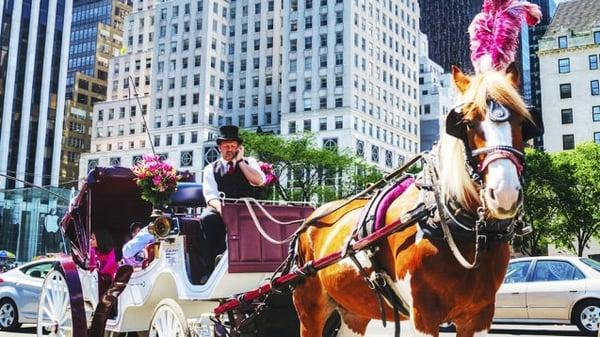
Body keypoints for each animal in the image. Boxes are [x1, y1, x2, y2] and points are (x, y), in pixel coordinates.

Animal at [292, 65, 540, 336]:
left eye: (523, 122)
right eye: (467, 123)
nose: (504, 192)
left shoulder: (480, 314)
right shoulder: (423, 314)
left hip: (353, 312)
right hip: (310, 309)